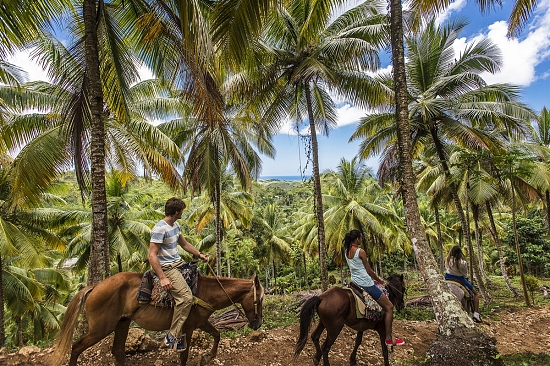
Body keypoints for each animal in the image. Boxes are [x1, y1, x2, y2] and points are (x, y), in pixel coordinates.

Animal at [52, 272, 266, 366]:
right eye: (260, 299)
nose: (257, 324)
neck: (205, 292)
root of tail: (94, 287)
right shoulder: (188, 327)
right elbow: (184, 354)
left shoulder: (201, 323)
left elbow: (217, 335)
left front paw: (207, 357)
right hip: (101, 328)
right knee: (76, 347)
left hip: (122, 323)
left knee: (118, 351)